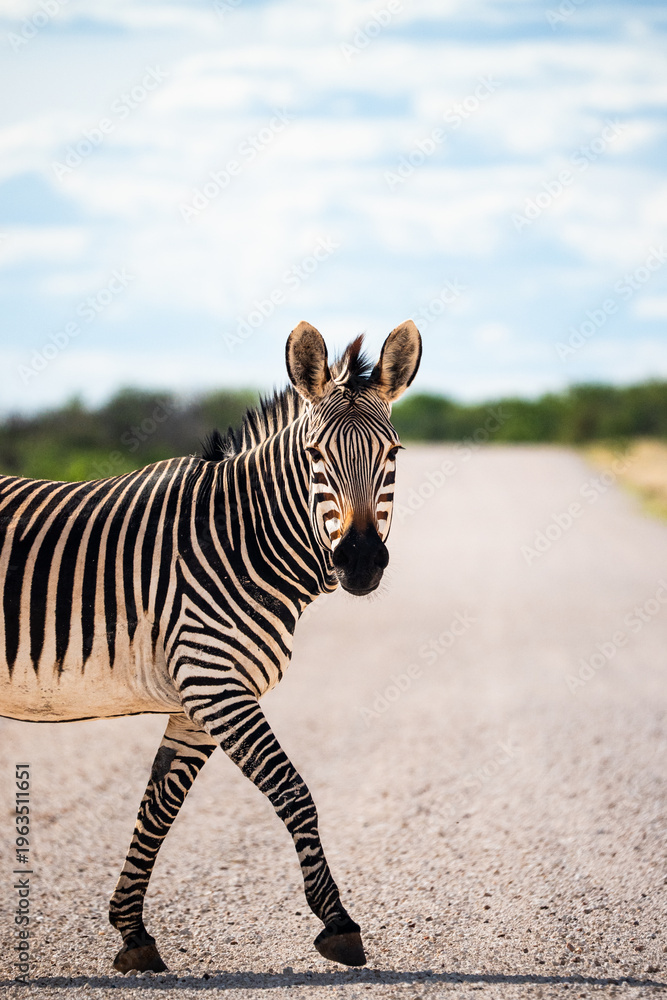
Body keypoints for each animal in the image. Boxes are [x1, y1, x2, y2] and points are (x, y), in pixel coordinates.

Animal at [0, 319, 422, 974]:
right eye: (314, 456)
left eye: (393, 455)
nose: (359, 563)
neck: (241, 541)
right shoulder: (215, 684)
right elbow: (293, 791)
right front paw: (338, 922)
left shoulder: (196, 700)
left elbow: (158, 806)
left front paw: (132, 933)